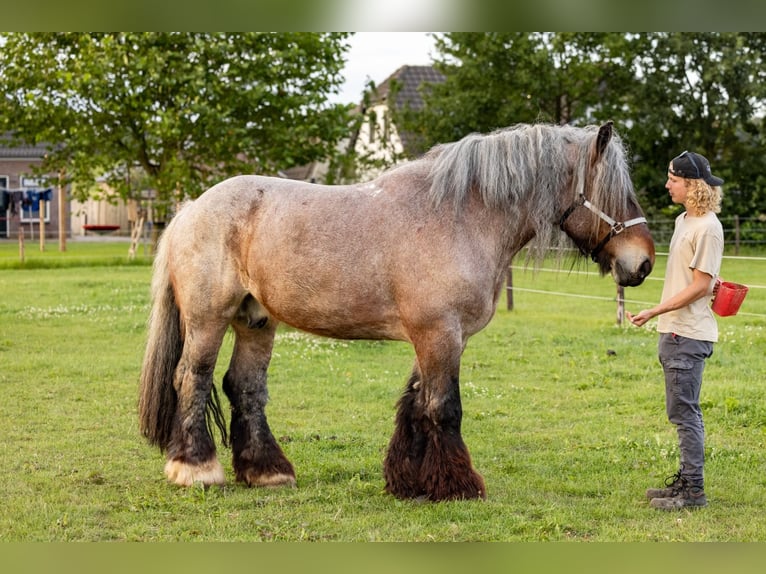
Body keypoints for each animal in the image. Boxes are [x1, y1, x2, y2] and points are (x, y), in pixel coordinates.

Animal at [138, 120, 656, 500]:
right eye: (615, 192)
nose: (643, 262)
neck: (460, 216)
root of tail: (190, 209)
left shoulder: (437, 336)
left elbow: (414, 403)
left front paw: (409, 482)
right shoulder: (439, 333)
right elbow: (443, 407)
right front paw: (458, 485)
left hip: (256, 320)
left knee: (244, 387)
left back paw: (267, 471)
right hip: (208, 319)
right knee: (192, 378)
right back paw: (196, 469)